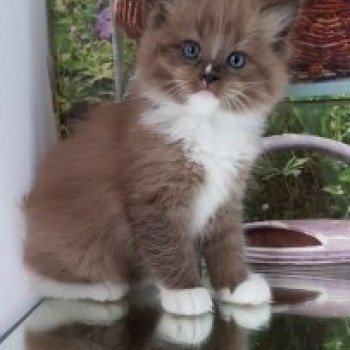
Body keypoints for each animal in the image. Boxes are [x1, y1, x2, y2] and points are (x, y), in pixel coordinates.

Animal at [24, 0, 302, 318]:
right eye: (191, 49)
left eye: (236, 60)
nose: (208, 76)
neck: (206, 126)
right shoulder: (156, 197)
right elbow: (170, 246)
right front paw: (186, 292)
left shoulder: (227, 195)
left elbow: (228, 243)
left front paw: (236, 284)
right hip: (80, 245)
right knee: (45, 276)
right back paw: (103, 287)